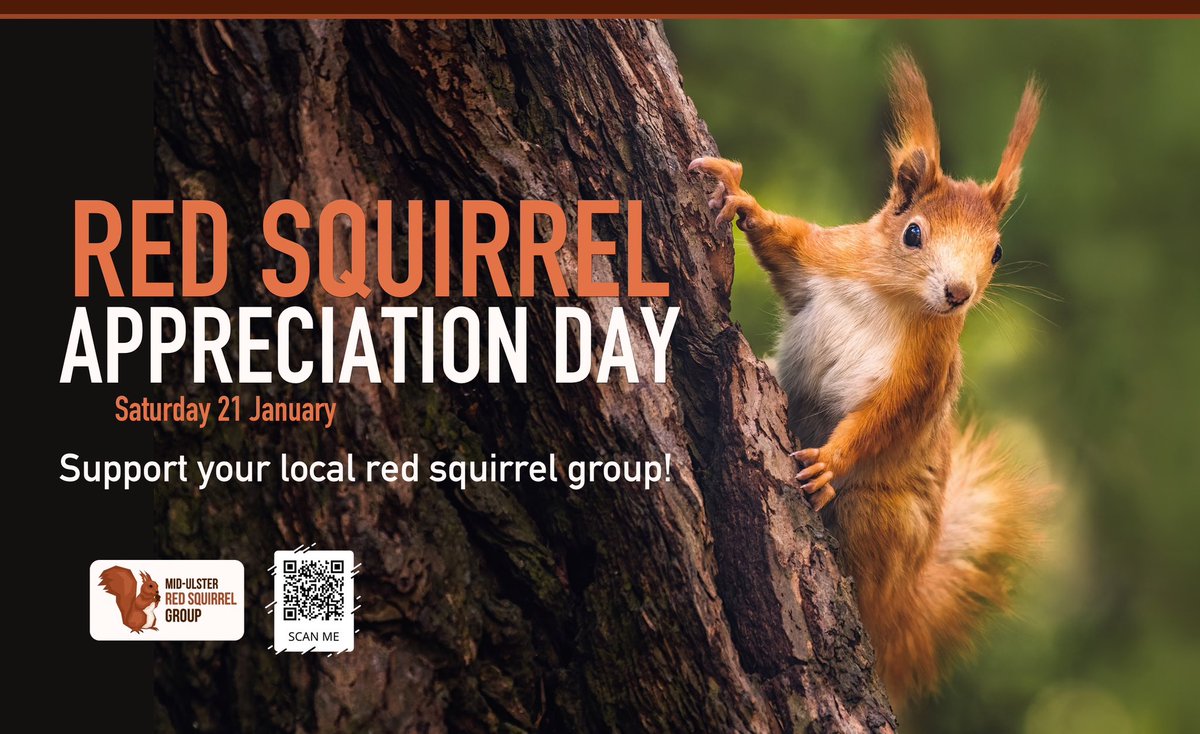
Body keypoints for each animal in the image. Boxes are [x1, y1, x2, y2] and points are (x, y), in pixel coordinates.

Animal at [690, 52, 1047, 705]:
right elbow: (784, 242)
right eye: (913, 232)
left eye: (997, 252)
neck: (894, 298)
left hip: (883, 519)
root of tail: (902, 605)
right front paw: (740, 197)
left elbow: (883, 419)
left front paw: (830, 462)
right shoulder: (826, 257)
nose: (958, 293)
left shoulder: (923, 376)